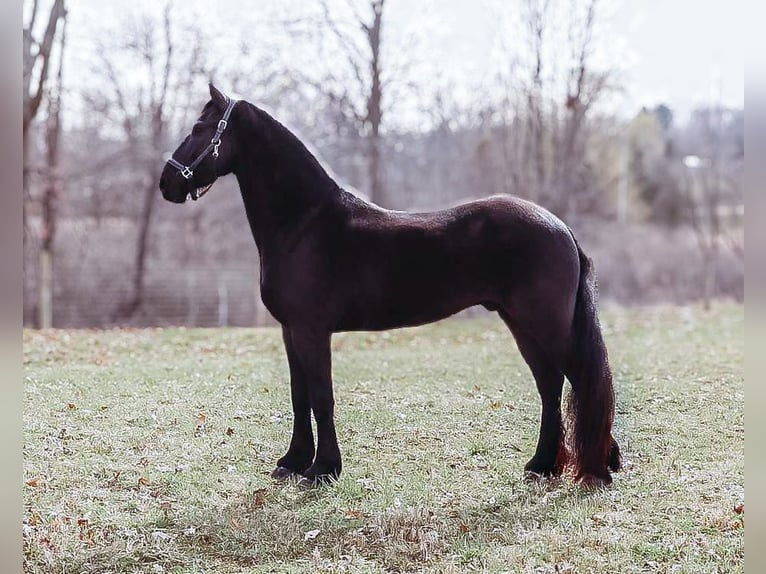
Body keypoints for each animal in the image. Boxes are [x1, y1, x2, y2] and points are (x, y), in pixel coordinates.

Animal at [159, 84, 621, 488]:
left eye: (199, 127)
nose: (167, 183)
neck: (304, 223)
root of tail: (561, 227)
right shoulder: (291, 331)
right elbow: (299, 396)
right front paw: (293, 462)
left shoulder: (311, 330)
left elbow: (321, 396)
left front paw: (323, 470)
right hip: (520, 323)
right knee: (550, 385)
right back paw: (543, 465)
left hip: (546, 324)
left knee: (581, 380)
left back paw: (598, 469)